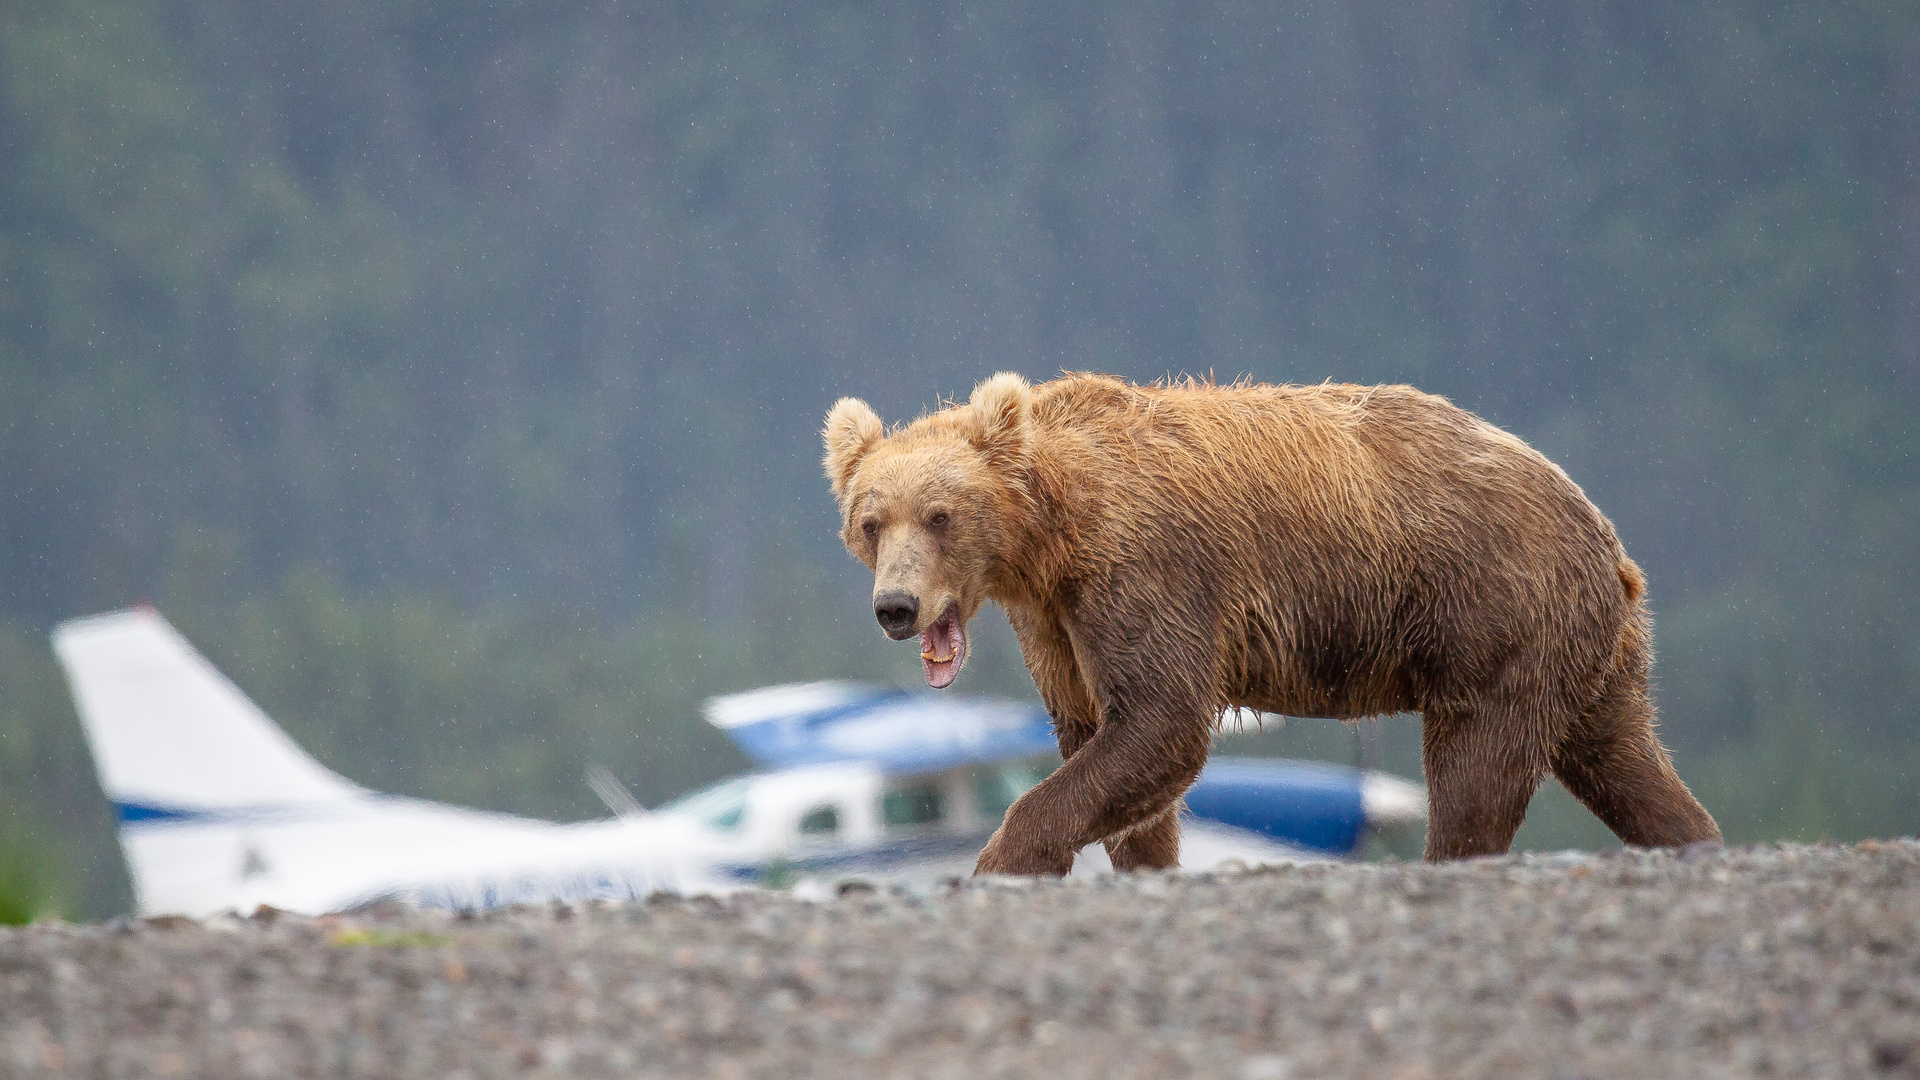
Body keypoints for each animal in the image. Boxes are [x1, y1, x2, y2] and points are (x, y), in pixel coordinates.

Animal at [817, 368, 1720, 864]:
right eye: (871, 520)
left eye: (940, 515)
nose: (897, 606)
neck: (1053, 534)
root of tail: (1603, 532)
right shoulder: (1055, 621)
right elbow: (1105, 743)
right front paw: (1142, 862)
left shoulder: (1147, 572)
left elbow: (1161, 722)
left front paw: (1002, 857)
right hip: (1591, 651)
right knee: (1620, 755)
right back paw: (1692, 832)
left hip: (1496, 612)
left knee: (1478, 766)